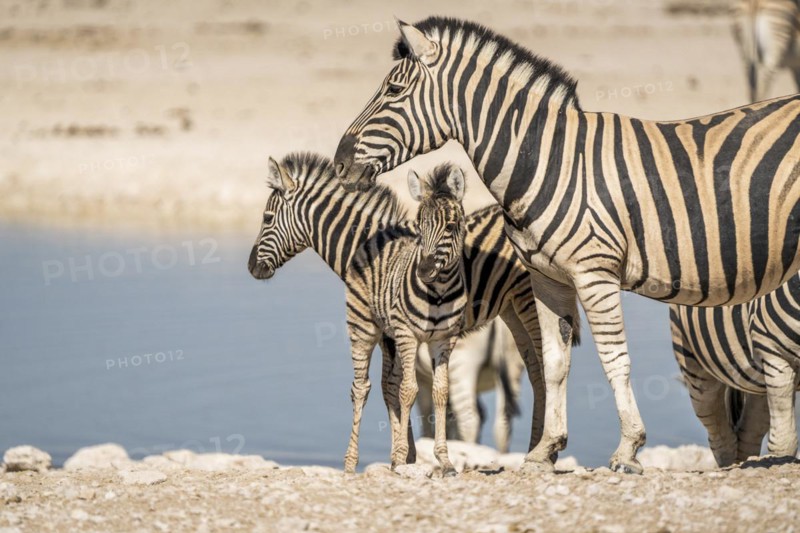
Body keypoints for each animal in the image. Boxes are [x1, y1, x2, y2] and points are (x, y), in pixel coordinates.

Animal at [416, 319, 525, 453]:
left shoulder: (421, 380)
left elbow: (426, 417)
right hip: (513, 365)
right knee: (503, 422)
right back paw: (501, 455)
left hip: (461, 367)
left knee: (470, 420)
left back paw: (470, 450)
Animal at [671, 273, 800, 467]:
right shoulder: (776, 357)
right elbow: (783, 443)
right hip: (693, 363)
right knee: (720, 436)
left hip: (758, 381)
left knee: (748, 433)